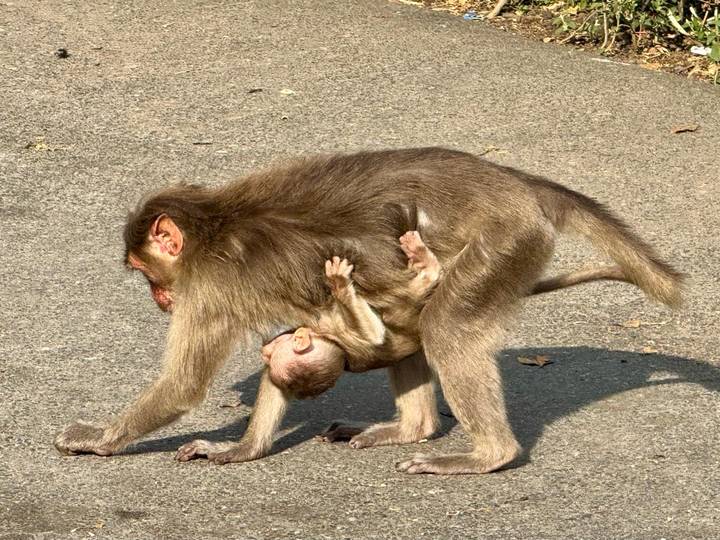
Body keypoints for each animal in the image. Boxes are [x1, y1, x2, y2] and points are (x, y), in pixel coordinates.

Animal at [54, 147, 683, 474]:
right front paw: (240, 449)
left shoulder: (209, 288)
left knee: (446, 327)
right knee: (419, 327)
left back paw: (488, 455)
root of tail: (517, 184)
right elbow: (280, 357)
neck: (213, 226)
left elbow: (184, 385)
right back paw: (414, 429)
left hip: (505, 242)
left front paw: (101, 439)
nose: (158, 297)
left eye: (144, 271)